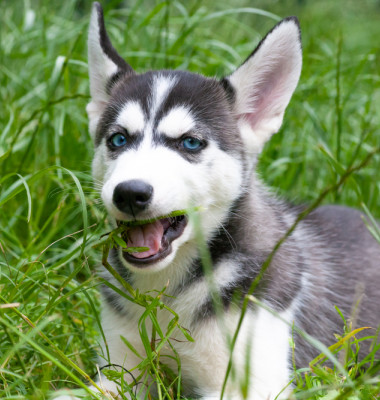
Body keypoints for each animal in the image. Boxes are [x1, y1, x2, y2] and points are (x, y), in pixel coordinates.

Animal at [69, 3, 380, 400]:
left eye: (190, 143)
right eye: (118, 139)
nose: (130, 193)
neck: (167, 294)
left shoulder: (255, 379)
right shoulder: (121, 370)